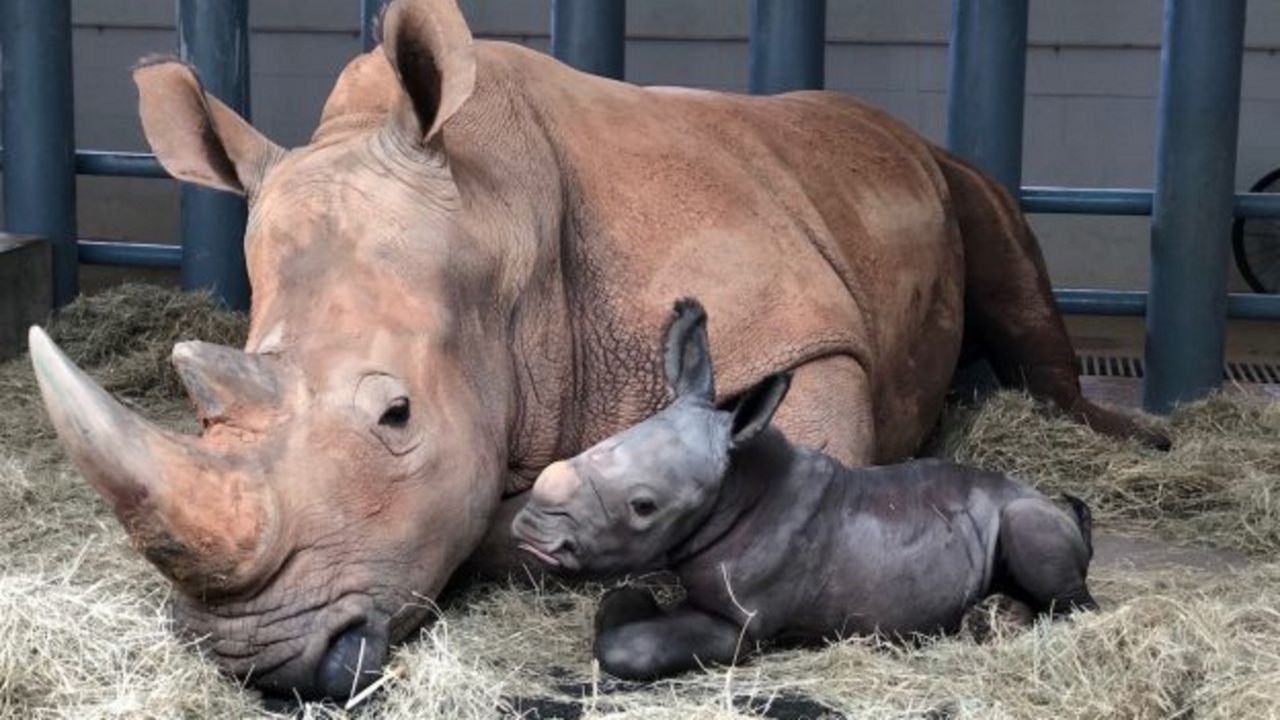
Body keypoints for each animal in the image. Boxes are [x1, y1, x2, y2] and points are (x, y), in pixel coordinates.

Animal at [509, 298, 1090, 676]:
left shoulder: (741, 623)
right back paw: (990, 619)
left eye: (644, 506)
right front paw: (634, 598)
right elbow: (619, 604)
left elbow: (628, 649)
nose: (530, 531)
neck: (737, 486)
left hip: (1025, 511)